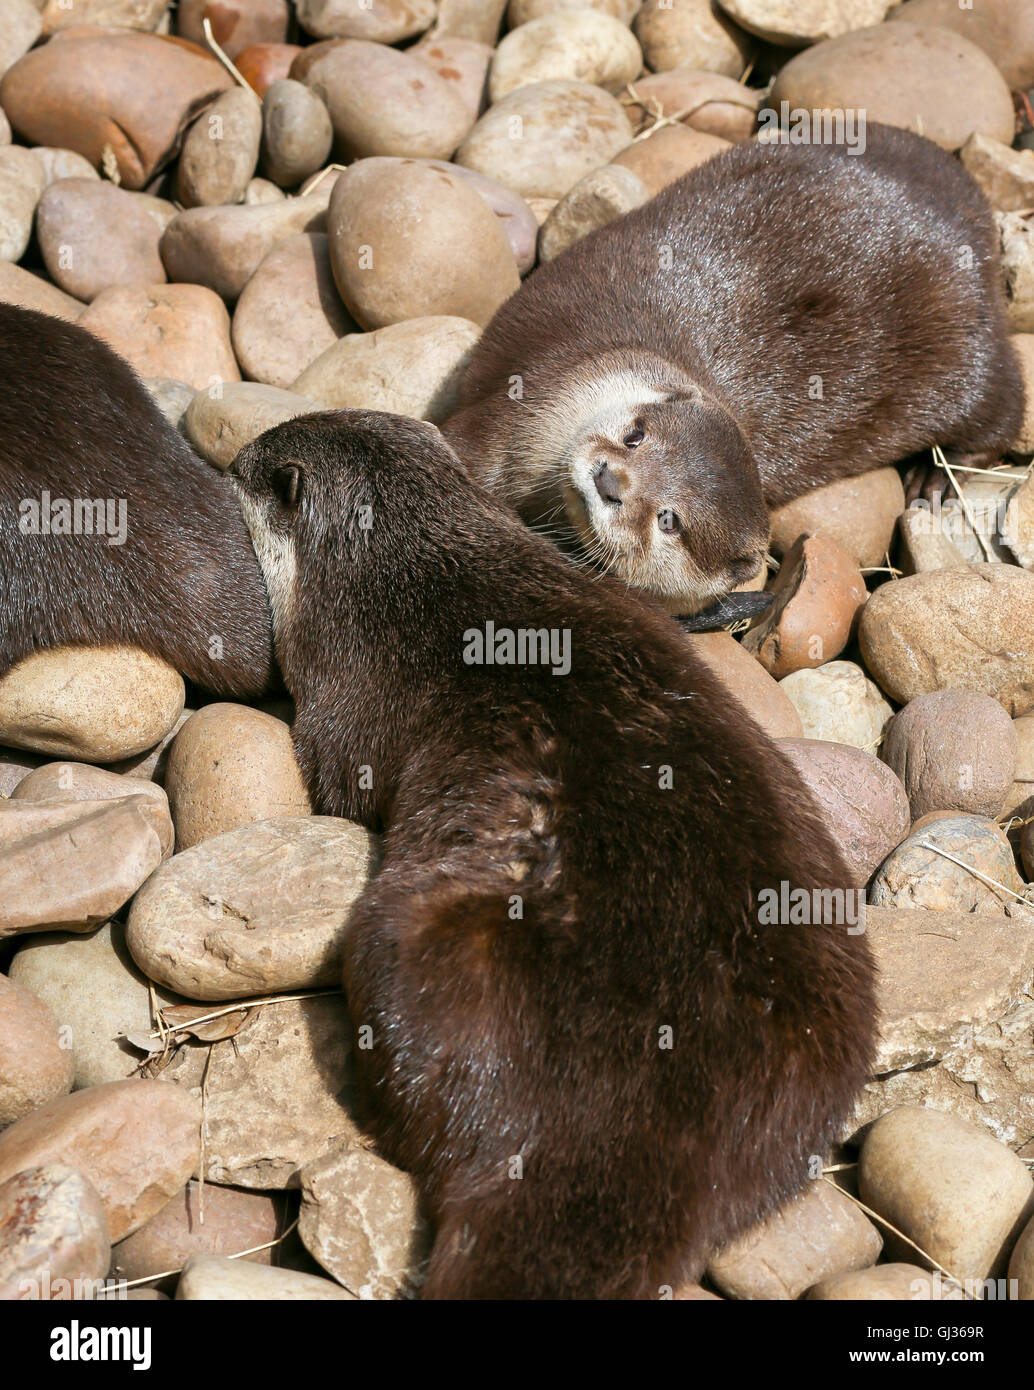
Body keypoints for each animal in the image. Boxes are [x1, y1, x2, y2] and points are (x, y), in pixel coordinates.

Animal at [231, 408, 876, 1300]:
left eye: (260, 466)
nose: (231, 455)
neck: (419, 567)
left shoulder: (340, 698)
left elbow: (337, 785)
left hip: (413, 941)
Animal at [442, 122, 1023, 616]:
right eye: (635, 435)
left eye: (669, 520)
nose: (609, 479)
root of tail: (962, 214)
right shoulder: (513, 418)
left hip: (966, 354)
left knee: (1003, 401)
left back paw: (935, 478)